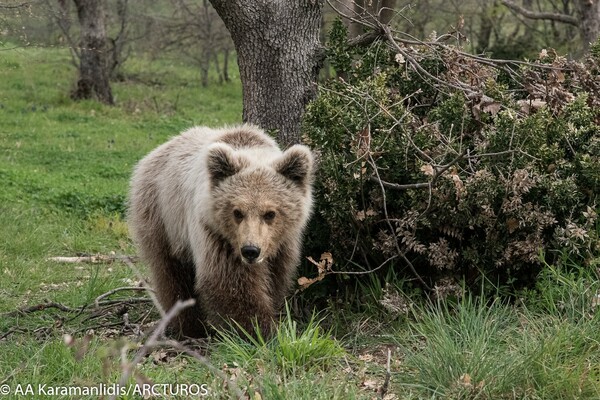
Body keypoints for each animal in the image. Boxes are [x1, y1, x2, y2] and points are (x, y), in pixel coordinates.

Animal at [126, 125, 314, 338]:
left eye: (270, 213)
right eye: (237, 212)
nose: (250, 250)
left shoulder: (283, 243)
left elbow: (278, 276)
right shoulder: (214, 235)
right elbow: (228, 282)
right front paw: (258, 329)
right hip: (162, 218)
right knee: (171, 272)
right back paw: (190, 326)